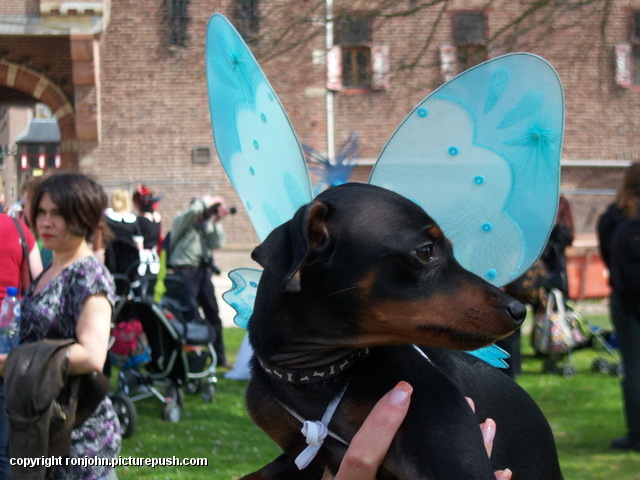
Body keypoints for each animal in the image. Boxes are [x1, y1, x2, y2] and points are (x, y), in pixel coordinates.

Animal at [241, 183, 564, 480]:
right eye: (426, 251)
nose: (519, 311)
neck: (318, 375)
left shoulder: (456, 461)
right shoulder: (303, 454)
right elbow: (257, 474)